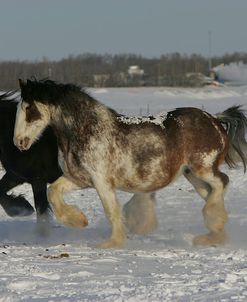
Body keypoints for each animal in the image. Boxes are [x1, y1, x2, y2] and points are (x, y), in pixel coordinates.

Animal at [13, 79, 247, 249]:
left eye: (29, 109)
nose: (19, 142)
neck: (87, 130)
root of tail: (215, 120)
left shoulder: (102, 182)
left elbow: (111, 211)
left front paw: (112, 243)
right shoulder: (79, 179)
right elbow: (53, 192)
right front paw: (79, 221)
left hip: (203, 168)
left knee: (222, 182)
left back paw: (214, 223)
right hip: (192, 175)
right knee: (212, 192)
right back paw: (213, 236)